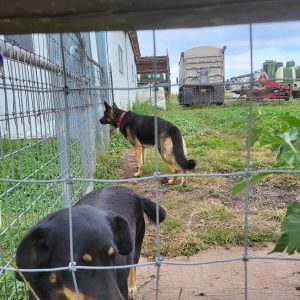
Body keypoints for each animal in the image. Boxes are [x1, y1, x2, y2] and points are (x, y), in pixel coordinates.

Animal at [15, 186, 166, 298]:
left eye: (114, 257)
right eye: (77, 267)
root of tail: (133, 193)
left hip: (137, 243)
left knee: (133, 265)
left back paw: (132, 286)